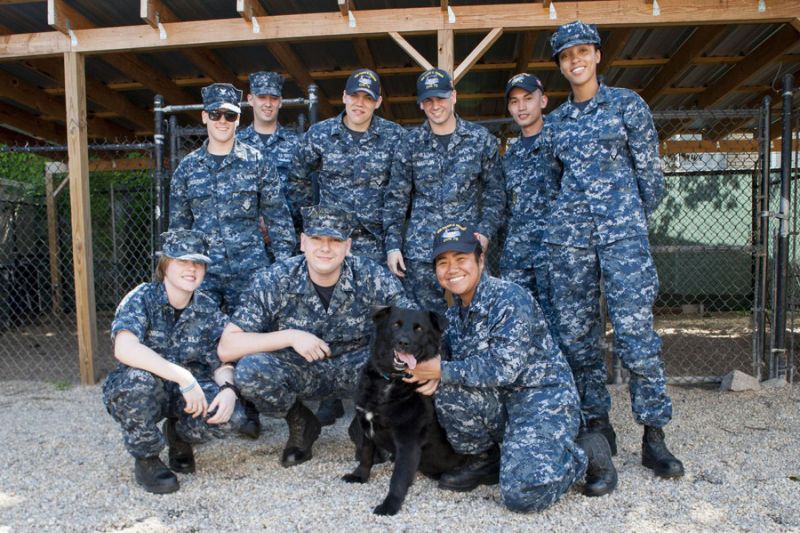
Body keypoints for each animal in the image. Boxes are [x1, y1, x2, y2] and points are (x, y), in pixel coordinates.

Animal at [340, 306, 466, 512]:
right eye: (395, 325)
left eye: (419, 328)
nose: (403, 342)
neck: (391, 381)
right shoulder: (365, 425)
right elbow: (366, 455)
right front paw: (360, 476)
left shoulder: (408, 441)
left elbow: (398, 478)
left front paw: (390, 505)